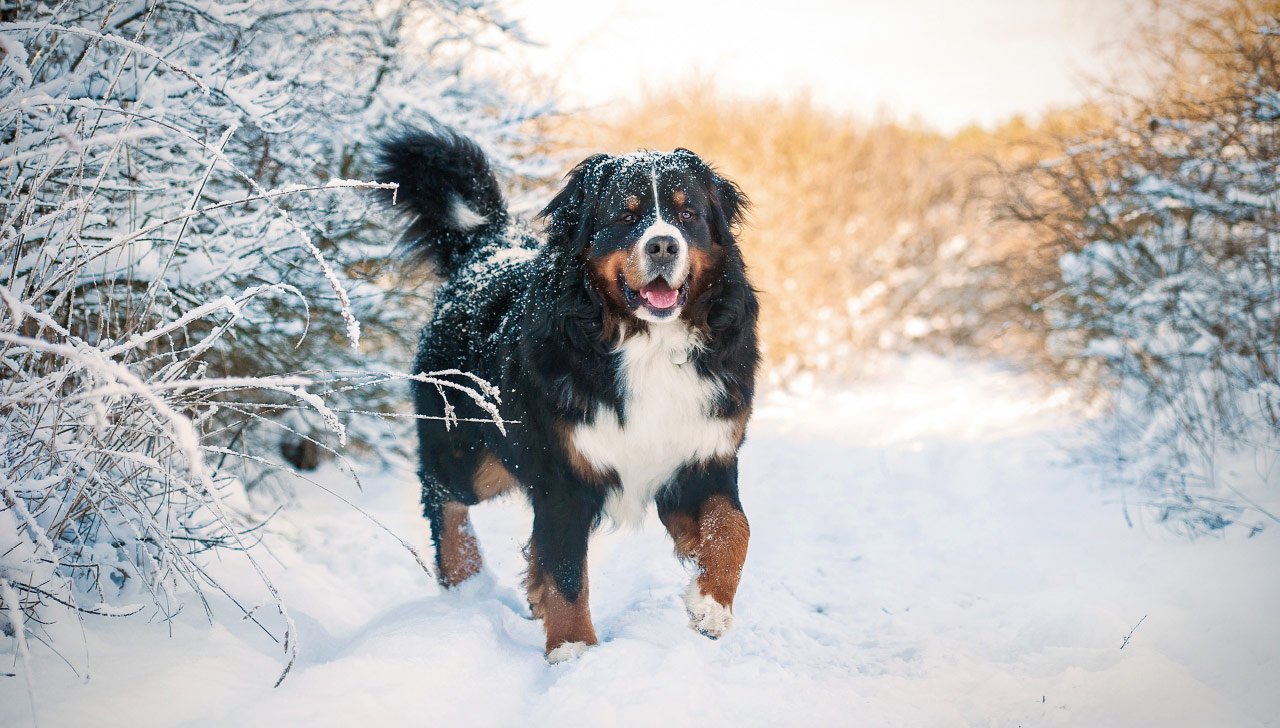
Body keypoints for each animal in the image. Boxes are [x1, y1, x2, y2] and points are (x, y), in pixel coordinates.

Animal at [378, 126, 757, 665]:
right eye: (626, 215)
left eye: (689, 215)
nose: (664, 245)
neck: (647, 343)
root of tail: (488, 247)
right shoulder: (564, 472)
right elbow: (566, 572)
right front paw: (573, 649)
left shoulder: (704, 454)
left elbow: (732, 529)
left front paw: (710, 606)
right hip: (475, 456)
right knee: (442, 496)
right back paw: (466, 581)